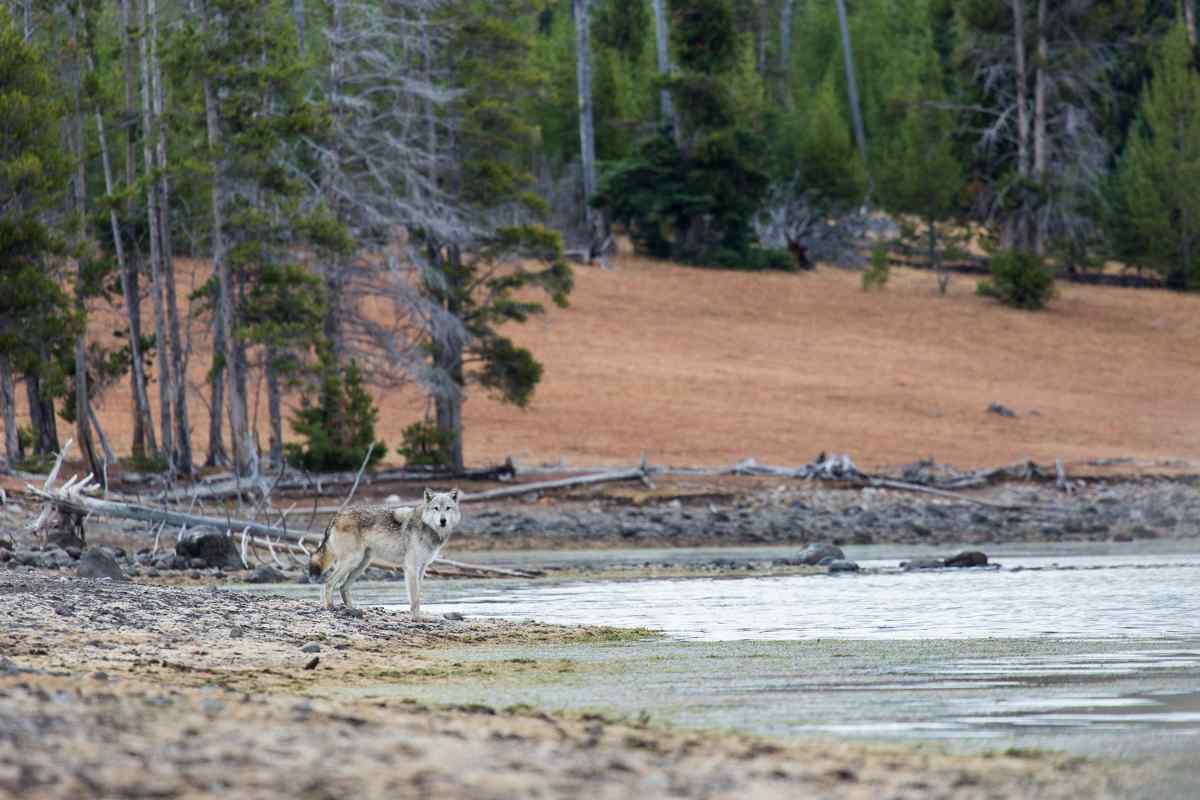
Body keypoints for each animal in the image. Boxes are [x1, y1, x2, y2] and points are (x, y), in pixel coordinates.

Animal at [307, 484, 460, 618]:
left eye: (448, 508)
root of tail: (337, 515)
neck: (427, 528)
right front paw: (417, 618)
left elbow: (418, 595)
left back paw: (353, 610)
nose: (443, 521)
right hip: (352, 561)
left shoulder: (422, 568)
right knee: (329, 582)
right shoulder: (411, 568)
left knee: (342, 587)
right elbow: (414, 598)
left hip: (361, 564)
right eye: (436, 508)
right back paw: (331, 607)